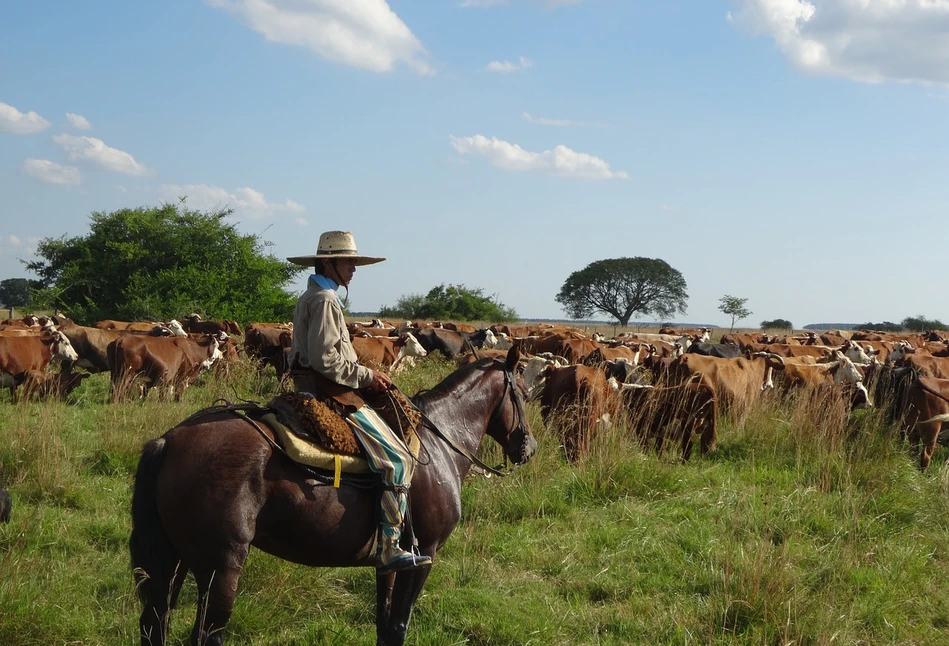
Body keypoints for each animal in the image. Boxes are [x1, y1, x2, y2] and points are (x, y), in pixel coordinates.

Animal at [130, 350, 536, 646]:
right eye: (523, 392)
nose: (528, 447)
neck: (440, 445)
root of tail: (168, 440)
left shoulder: (389, 564)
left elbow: (385, 626)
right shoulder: (424, 556)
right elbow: (399, 627)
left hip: (177, 561)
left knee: (155, 623)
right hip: (220, 569)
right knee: (206, 634)